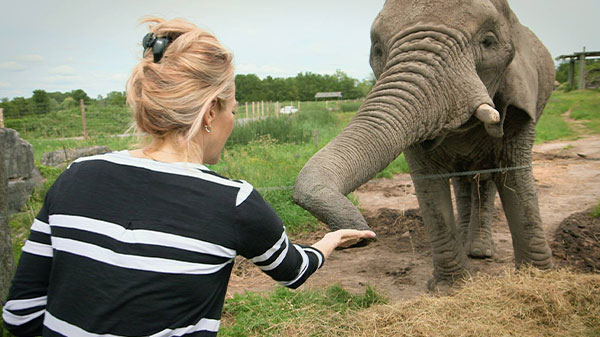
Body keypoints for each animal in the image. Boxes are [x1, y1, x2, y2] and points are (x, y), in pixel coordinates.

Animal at [292, 0, 556, 286]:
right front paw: (452, 288)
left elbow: (514, 173)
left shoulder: (522, 99)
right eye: (377, 50)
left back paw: (479, 251)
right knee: (464, 181)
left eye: (488, 42)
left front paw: (537, 279)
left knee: (485, 180)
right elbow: (428, 184)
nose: (359, 238)